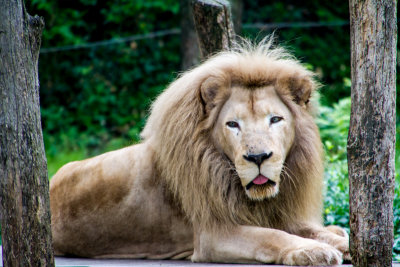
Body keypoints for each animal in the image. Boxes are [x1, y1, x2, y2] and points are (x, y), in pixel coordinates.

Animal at [50, 39, 350, 266]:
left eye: (275, 119)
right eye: (233, 124)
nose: (258, 158)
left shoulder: (280, 214)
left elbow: (316, 232)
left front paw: (342, 243)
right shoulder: (213, 235)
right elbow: (271, 237)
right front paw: (312, 250)